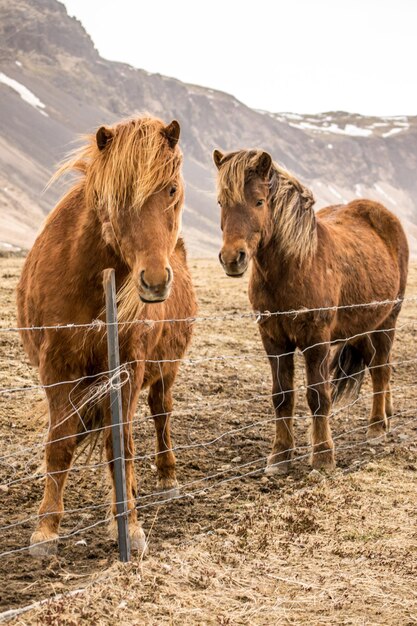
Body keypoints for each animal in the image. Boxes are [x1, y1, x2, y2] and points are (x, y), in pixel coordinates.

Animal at [17, 114, 197, 552]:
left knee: (162, 413)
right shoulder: (57, 369)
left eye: (171, 189)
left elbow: (121, 446)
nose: (154, 280)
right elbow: (61, 444)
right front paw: (46, 529)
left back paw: (167, 477)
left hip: (166, 369)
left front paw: (129, 526)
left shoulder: (129, 367)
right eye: (118, 197)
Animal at [213, 149, 408, 472]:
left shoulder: (315, 341)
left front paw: (323, 455)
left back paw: (377, 427)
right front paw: (280, 455)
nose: (232, 258)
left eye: (259, 202)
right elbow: (282, 396)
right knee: (377, 365)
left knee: (381, 369)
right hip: (359, 327)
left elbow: (318, 396)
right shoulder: (274, 340)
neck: (295, 266)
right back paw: (388, 414)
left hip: (386, 321)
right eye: (221, 203)